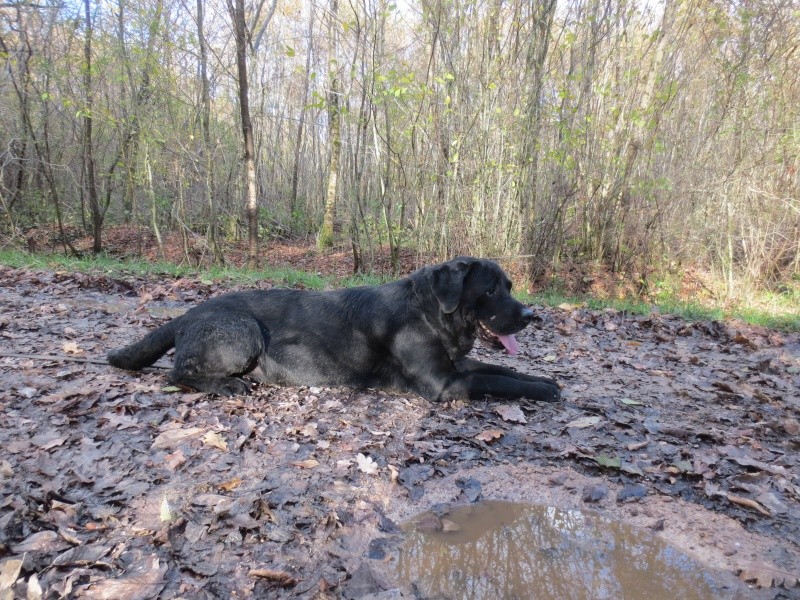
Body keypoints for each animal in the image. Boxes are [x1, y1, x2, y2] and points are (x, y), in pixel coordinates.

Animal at [108, 258, 564, 404]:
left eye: (510, 286)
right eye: (490, 290)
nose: (532, 315)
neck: (430, 313)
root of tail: (186, 314)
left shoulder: (456, 365)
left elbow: (501, 370)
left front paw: (543, 379)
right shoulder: (444, 383)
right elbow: (495, 381)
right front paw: (541, 390)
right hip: (242, 330)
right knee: (177, 372)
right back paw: (226, 386)